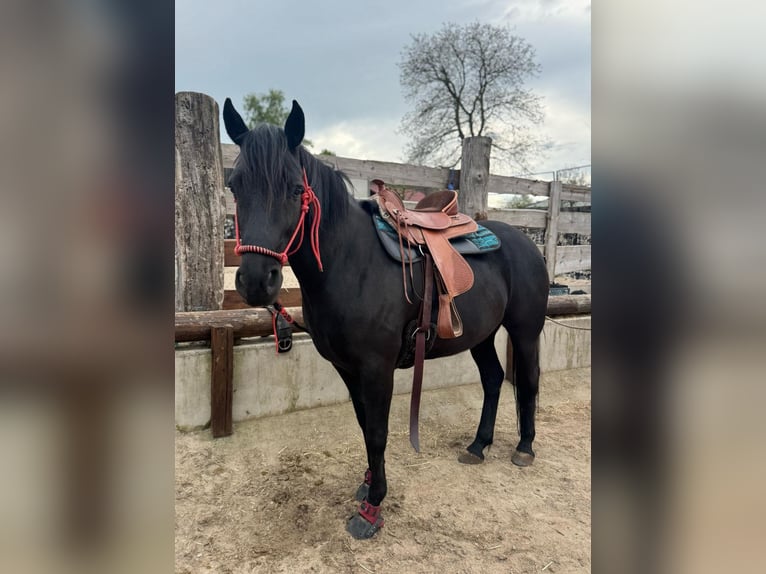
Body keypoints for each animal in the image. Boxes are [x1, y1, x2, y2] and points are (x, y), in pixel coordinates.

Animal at [222, 98, 549, 539]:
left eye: (294, 189)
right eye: (235, 186)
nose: (257, 280)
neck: (350, 264)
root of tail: (527, 243)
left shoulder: (377, 368)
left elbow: (377, 433)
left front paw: (372, 508)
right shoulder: (347, 368)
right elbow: (364, 426)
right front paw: (366, 484)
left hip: (525, 331)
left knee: (527, 381)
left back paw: (524, 448)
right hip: (481, 335)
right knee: (495, 380)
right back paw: (478, 446)